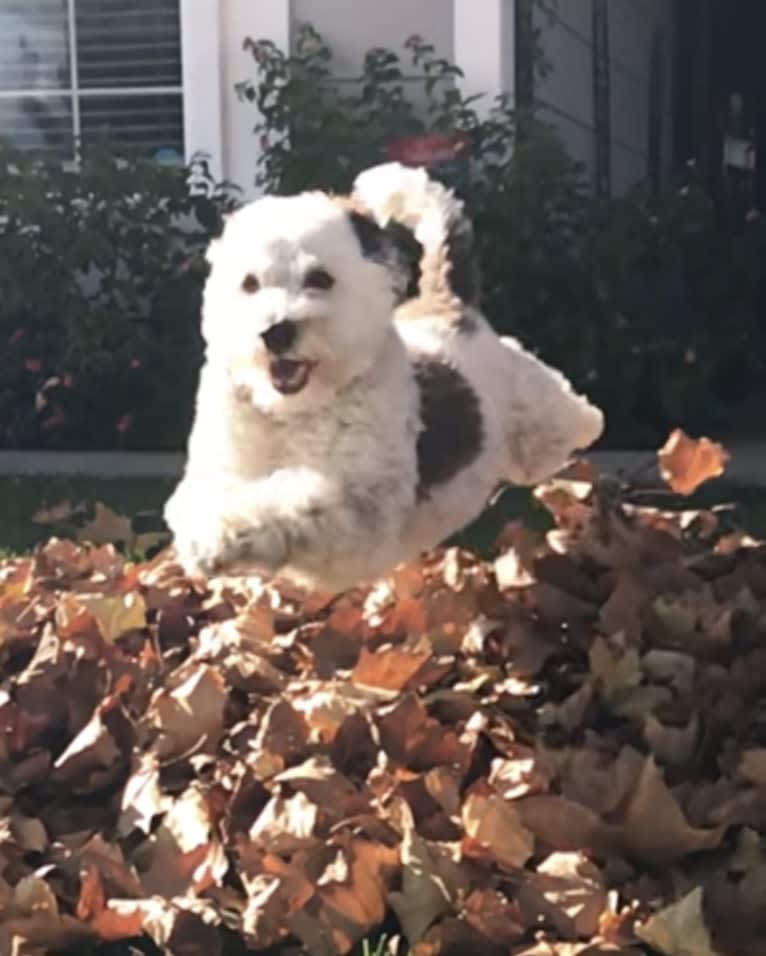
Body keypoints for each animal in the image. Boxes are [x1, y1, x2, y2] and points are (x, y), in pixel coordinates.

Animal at [166, 166, 608, 596]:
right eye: (249, 283)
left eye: (320, 278)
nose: (275, 331)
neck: (295, 413)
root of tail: (449, 305)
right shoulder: (217, 469)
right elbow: (197, 503)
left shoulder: (361, 510)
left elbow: (288, 498)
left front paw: (219, 533)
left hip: (534, 428)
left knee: (564, 414)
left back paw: (589, 421)